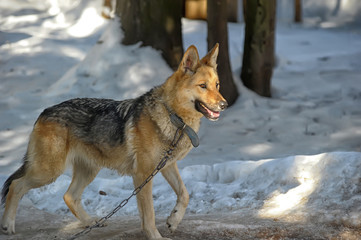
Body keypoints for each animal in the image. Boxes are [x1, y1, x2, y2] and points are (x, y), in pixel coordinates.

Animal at [0, 44, 226, 239]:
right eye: (203, 86)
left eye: (217, 85)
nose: (224, 104)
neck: (173, 117)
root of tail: (43, 112)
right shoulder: (142, 175)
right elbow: (149, 215)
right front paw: (155, 236)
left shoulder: (166, 166)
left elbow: (184, 194)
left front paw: (173, 221)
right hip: (48, 172)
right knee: (16, 186)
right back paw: (8, 225)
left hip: (88, 171)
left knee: (68, 196)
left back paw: (91, 223)